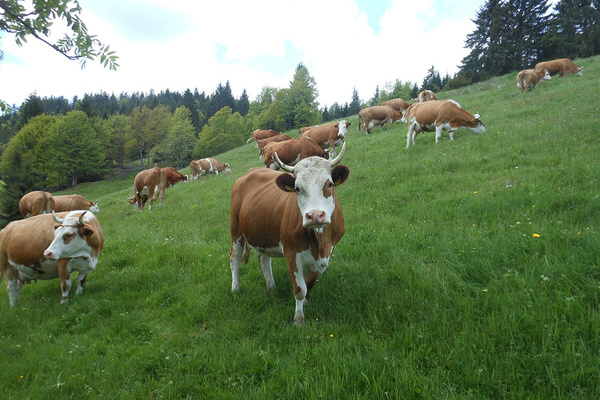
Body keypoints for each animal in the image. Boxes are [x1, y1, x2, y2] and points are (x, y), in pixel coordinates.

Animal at [231, 141, 352, 324]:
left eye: (329, 184)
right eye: (297, 189)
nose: (314, 215)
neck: (319, 240)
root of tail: (251, 170)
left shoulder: (326, 254)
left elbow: (309, 283)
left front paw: (306, 304)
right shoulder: (291, 254)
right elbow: (300, 289)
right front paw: (299, 318)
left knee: (264, 260)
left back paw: (272, 288)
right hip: (235, 229)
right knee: (235, 259)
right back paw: (236, 288)